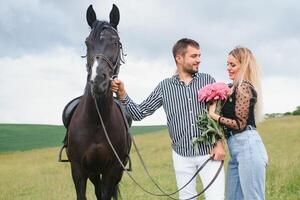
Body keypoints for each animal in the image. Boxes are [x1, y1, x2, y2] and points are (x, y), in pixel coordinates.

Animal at [67, 4, 132, 200]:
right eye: (87, 42)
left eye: (116, 42)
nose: (98, 81)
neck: (97, 120)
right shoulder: (78, 170)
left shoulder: (113, 170)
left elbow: (106, 194)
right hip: (94, 172)